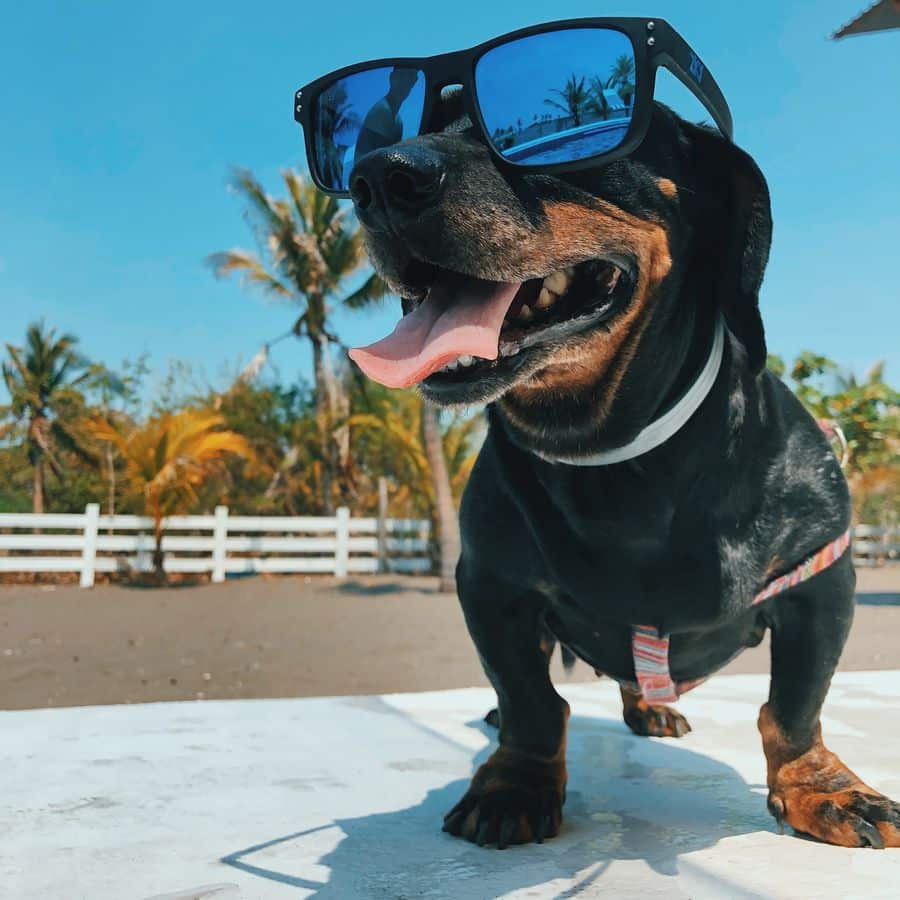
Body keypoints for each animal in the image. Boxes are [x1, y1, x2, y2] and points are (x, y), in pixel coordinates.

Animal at [344, 91, 900, 852]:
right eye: (418, 122)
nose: (377, 177)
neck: (617, 454)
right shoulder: (489, 586)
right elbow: (530, 699)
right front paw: (515, 783)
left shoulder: (822, 581)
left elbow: (794, 706)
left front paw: (823, 788)